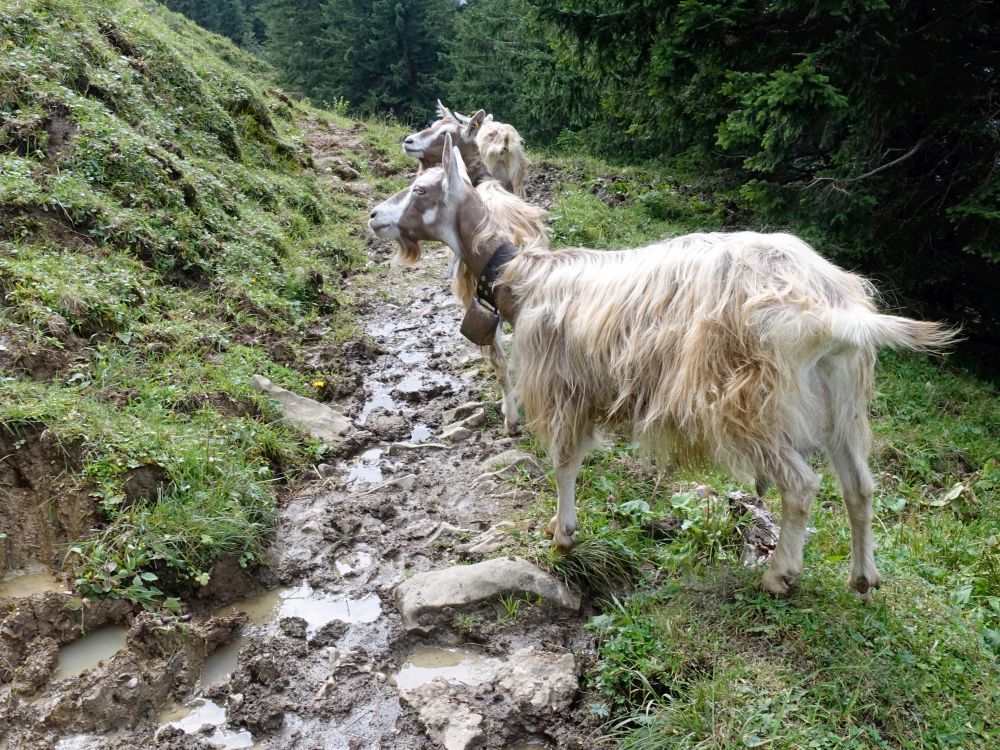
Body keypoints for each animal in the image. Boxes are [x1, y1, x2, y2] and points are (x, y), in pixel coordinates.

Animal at [372, 135, 956, 604]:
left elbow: (563, 462)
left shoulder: (563, 386)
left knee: (802, 484)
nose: (375, 216)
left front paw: (562, 534)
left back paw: (779, 575)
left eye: (421, 190)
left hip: (749, 401)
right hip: (840, 398)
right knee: (859, 486)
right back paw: (863, 578)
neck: (523, 275)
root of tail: (826, 303)